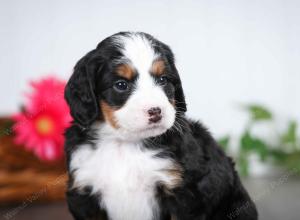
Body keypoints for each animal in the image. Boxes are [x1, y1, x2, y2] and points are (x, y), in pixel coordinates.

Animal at [64, 31, 256, 220]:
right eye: (121, 85)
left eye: (163, 79)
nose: (156, 111)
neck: (124, 145)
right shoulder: (84, 192)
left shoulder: (183, 194)